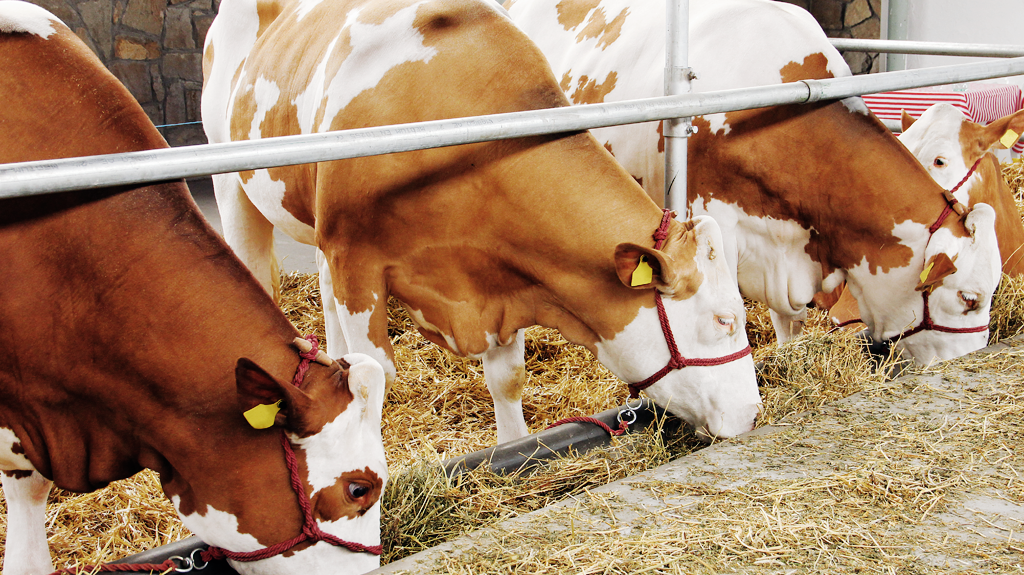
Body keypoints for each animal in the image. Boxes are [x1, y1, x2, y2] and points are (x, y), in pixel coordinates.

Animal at [201, 0, 760, 445]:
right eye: (724, 320)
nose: (753, 414)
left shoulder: (503, 272)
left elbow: (508, 377)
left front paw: (512, 449)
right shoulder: (355, 256)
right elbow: (378, 377)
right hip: (235, 185)